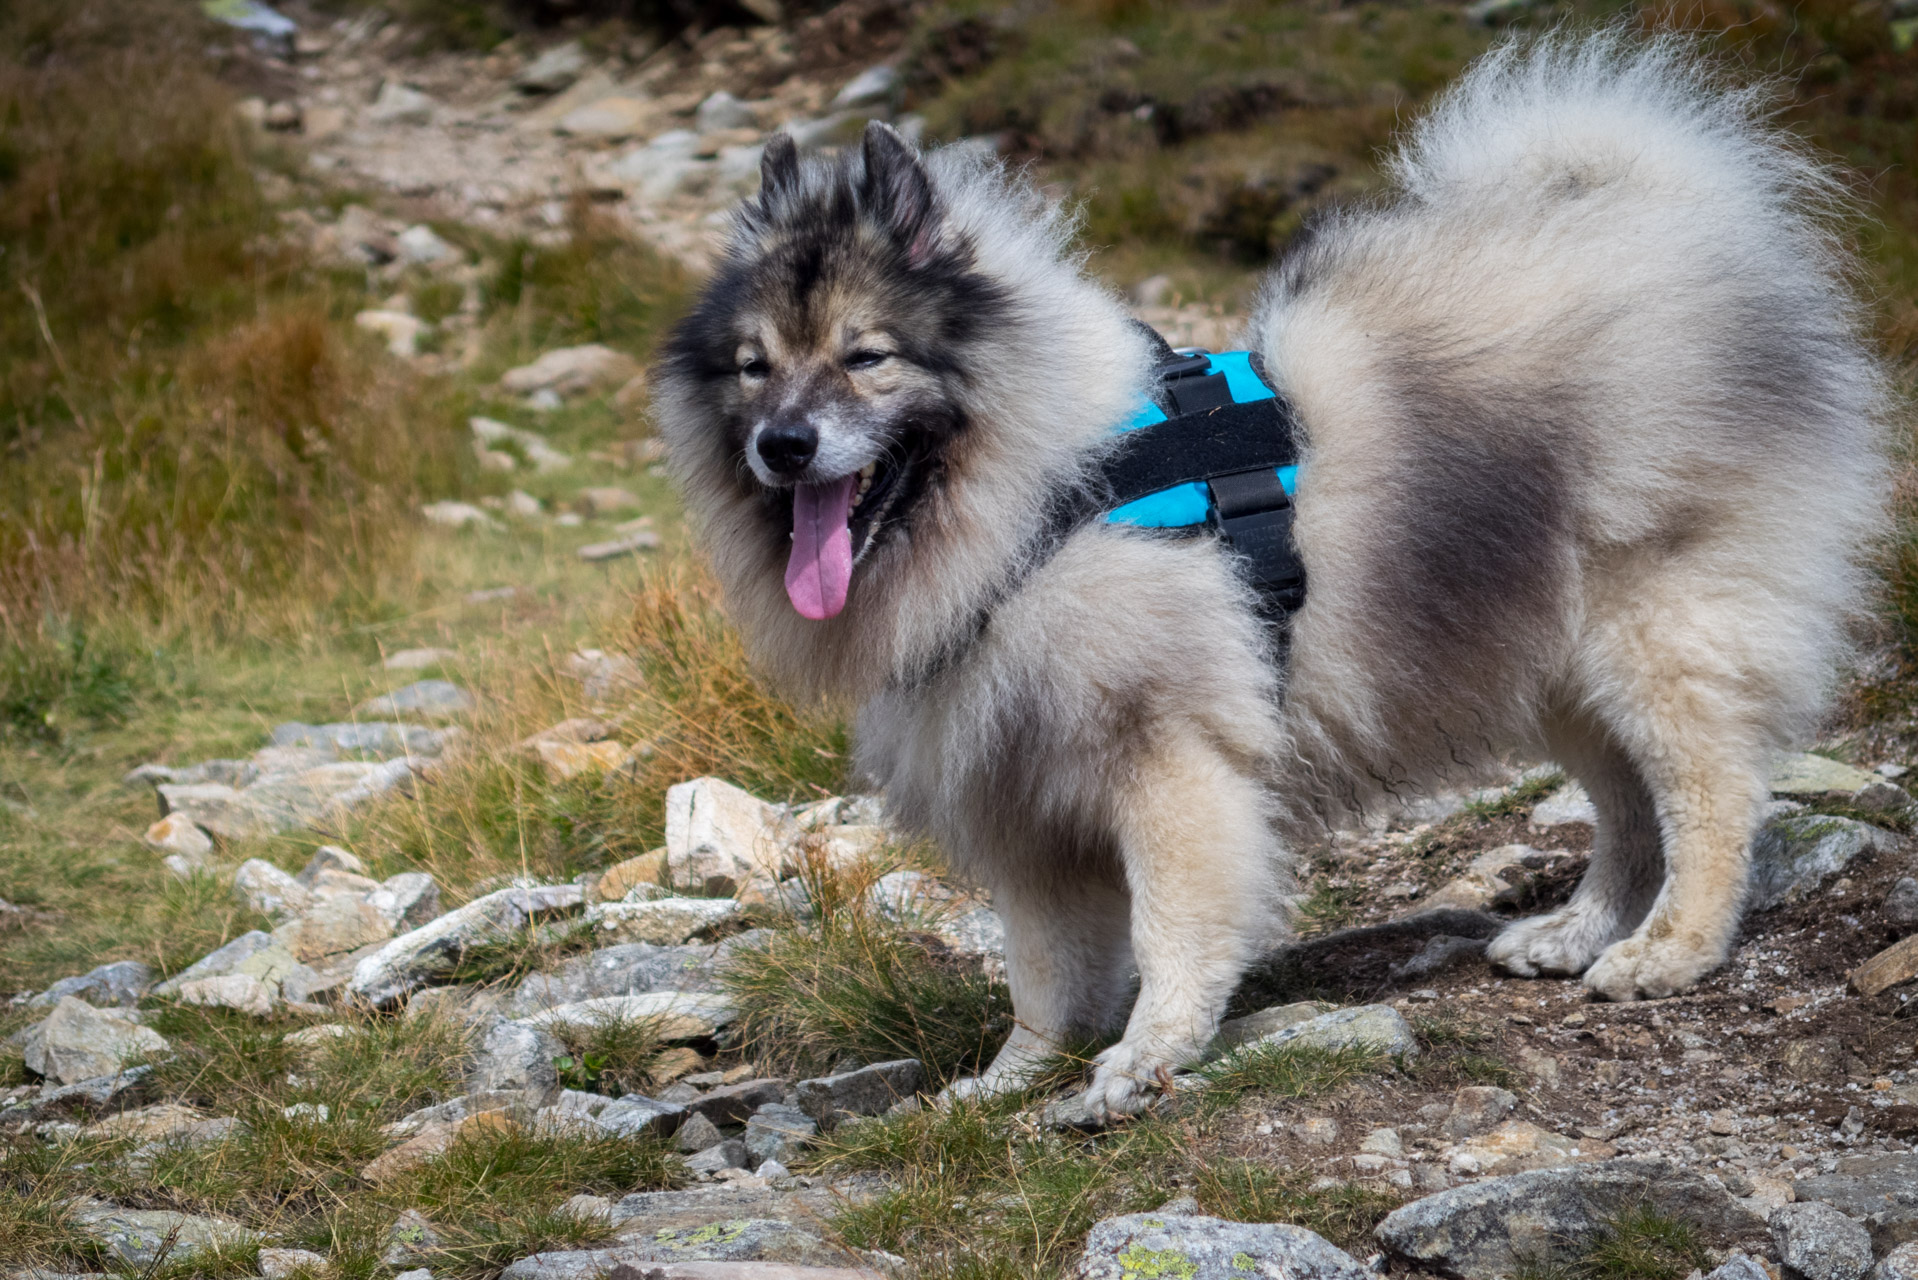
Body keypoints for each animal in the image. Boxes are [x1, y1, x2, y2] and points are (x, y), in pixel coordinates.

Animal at [655, 27, 1887, 1113]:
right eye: (754, 368)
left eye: (867, 357)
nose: (784, 446)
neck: (1044, 491)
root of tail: (1668, 215)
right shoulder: (1022, 794)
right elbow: (1042, 974)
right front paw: (1007, 1082)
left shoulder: (1163, 758)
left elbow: (1171, 927)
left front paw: (1145, 1058)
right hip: (1553, 659)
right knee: (1630, 807)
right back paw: (1584, 930)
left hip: (1648, 632)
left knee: (1708, 793)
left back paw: (1670, 949)